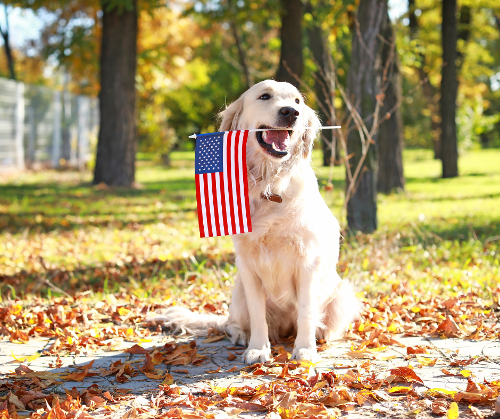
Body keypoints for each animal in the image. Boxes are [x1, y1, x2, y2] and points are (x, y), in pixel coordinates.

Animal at [152, 81, 360, 364]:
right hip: (238, 291)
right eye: (264, 96)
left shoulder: (308, 263)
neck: (269, 185)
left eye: (297, 101)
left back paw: (319, 335)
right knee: (231, 323)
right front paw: (258, 348)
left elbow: (306, 312)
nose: (290, 112)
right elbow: (257, 315)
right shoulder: (247, 265)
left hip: (342, 293)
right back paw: (241, 335)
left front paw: (305, 349)